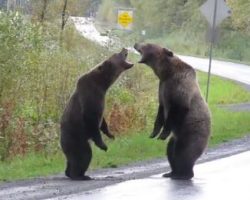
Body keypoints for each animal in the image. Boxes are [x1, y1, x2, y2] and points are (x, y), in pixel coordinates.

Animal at [60, 48, 133, 180]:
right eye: (117, 54)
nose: (124, 48)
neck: (102, 84)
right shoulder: (90, 97)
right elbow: (91, 119)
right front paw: (103, 145)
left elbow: (102, 119)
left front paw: (110, 134)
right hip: (76, 138)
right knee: (83, 155)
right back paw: (79, 175)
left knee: (72, 159)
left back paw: (70, 173)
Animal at [135, 42, 211, 180]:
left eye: (148, 44)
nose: (136, 43)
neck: (166, 73)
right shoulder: (162, 88)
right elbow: (160, 111)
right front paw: (154, 133)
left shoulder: (180, 86)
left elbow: (178, 109)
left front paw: (163, 133)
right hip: (176, 137)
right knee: (170, 150)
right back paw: (171, 172)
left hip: (191, 133)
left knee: (184, 152)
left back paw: (184, 174)